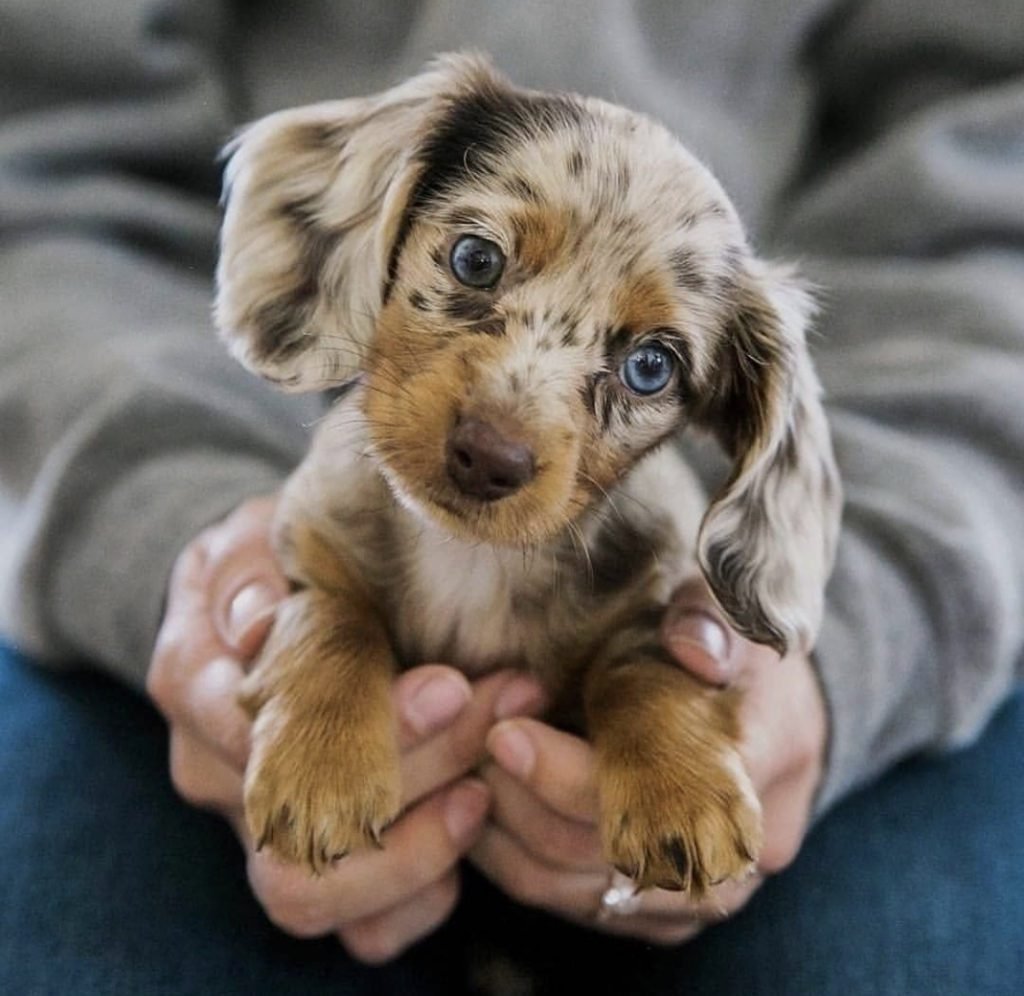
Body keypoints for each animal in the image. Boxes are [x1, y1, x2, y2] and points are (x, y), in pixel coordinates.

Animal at [214, 52, 839, 892]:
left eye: (651, 367)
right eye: (476, 259)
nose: (488, 458)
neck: (472, 558)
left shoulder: (652, 607)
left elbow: (645, 668)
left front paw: (683, 790)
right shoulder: (313, 552)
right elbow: (327, 619)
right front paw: (322, 765)